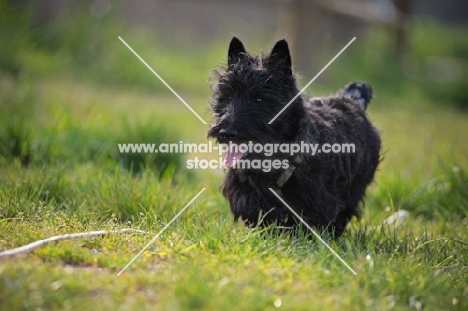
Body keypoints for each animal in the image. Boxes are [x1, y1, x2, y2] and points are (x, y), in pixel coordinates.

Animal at [208, 37, 380, 238]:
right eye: (227, 96)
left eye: (260, 99)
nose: (226, 133)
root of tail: (353, 100)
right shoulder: (246, 189)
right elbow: (255, 207)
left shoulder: (315, 200)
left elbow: (305, 221)